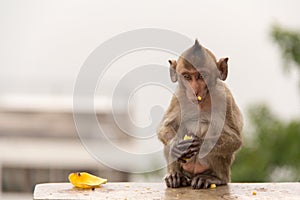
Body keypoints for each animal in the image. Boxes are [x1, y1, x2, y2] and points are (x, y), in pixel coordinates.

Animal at [158, 39, 243, 189]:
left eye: (201, 76)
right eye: (187, 77)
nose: (194, 90)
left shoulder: (225, 97)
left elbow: (234, 139)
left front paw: (201, 144)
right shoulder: (179, 96)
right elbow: (166, 127)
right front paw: (175, 145)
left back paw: (214, 178)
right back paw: (175, 176)